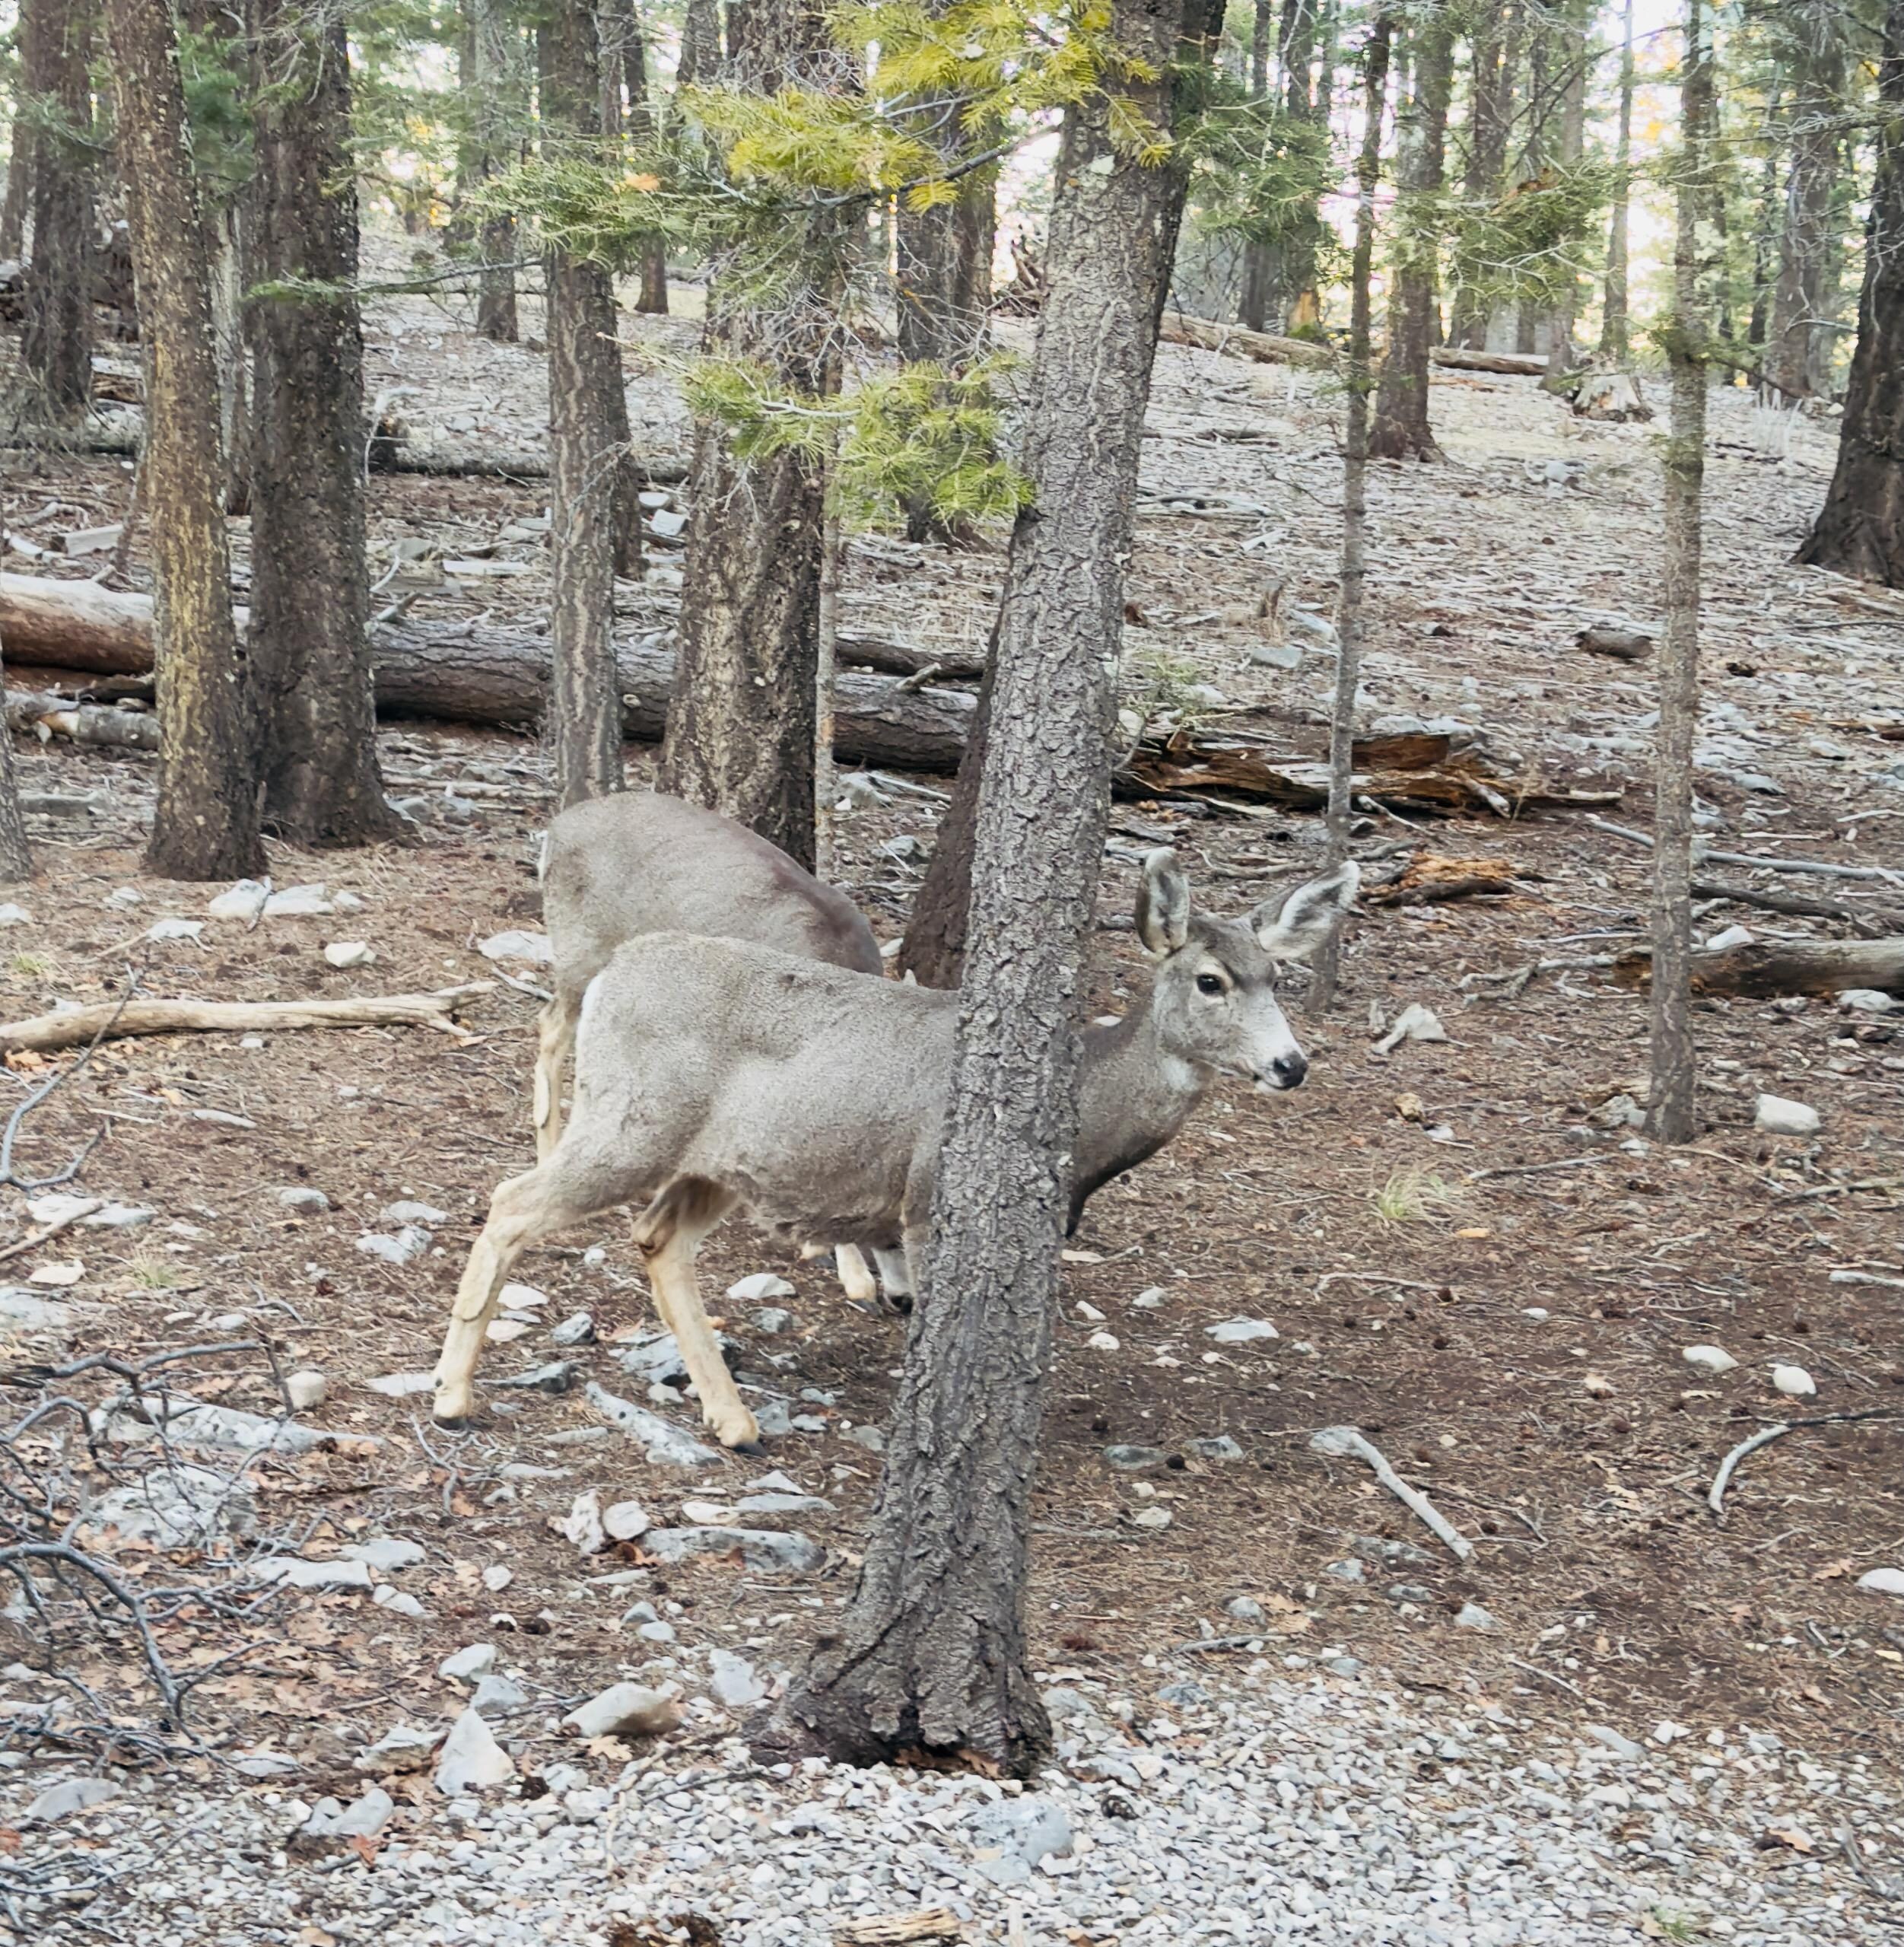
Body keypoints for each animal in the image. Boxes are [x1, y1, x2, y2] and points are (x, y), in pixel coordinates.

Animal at [432, 850, 1358, 1442]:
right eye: (1210, 981)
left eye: (1277, 978)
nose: (1291, 1064)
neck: (1086, 1114)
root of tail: (615, 975)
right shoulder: (925, 1196)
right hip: (633, 1120)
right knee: (511, 1201)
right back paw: (451, 1394)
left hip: (716, 1162)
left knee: (656, 1239)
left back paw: (733, 1420)